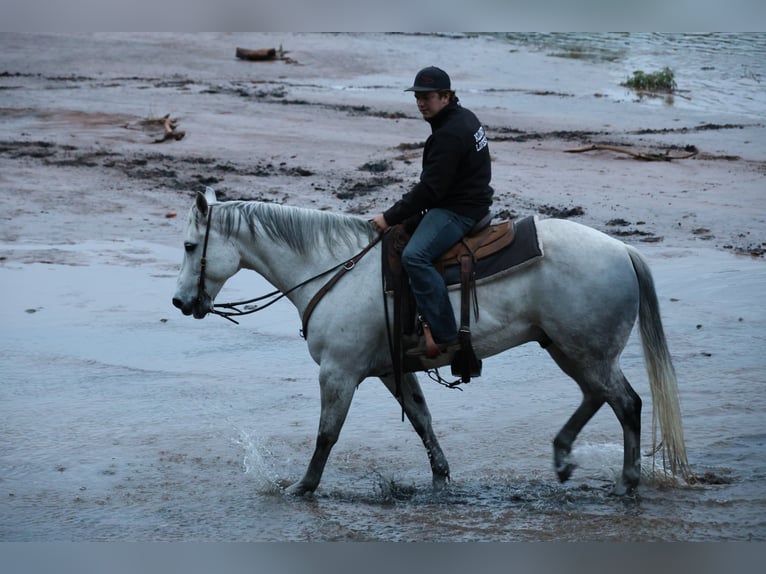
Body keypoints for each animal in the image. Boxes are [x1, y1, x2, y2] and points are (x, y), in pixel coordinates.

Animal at [172, 187, 692, 496]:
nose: (179, 301)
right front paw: (441, 478)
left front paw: (303, 487)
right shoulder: (389, 370)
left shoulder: (339, 371)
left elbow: (326, 434)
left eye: (190, 246)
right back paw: (563, 456)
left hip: (588, 350)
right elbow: (422, 421)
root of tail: (622, 249)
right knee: (596, 396)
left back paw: (626, 483)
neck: (336, 268)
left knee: (626, 403)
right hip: (568, 348)